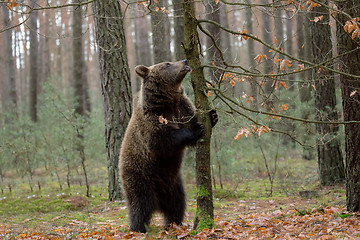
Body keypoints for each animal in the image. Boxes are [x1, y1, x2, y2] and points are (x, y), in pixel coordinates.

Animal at [119, 59, 218, 232]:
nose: (184, 60)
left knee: (177, 204)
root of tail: (159, 201)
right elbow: (162, 141)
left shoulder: (182, 108)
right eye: (167, 63)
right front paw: (196, 129)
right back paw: (138, 227)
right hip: (140, 174)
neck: (167, 102)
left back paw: (173, 223)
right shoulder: (152, 120)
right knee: (140, 202)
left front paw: (212, 116)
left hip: (174, 183)